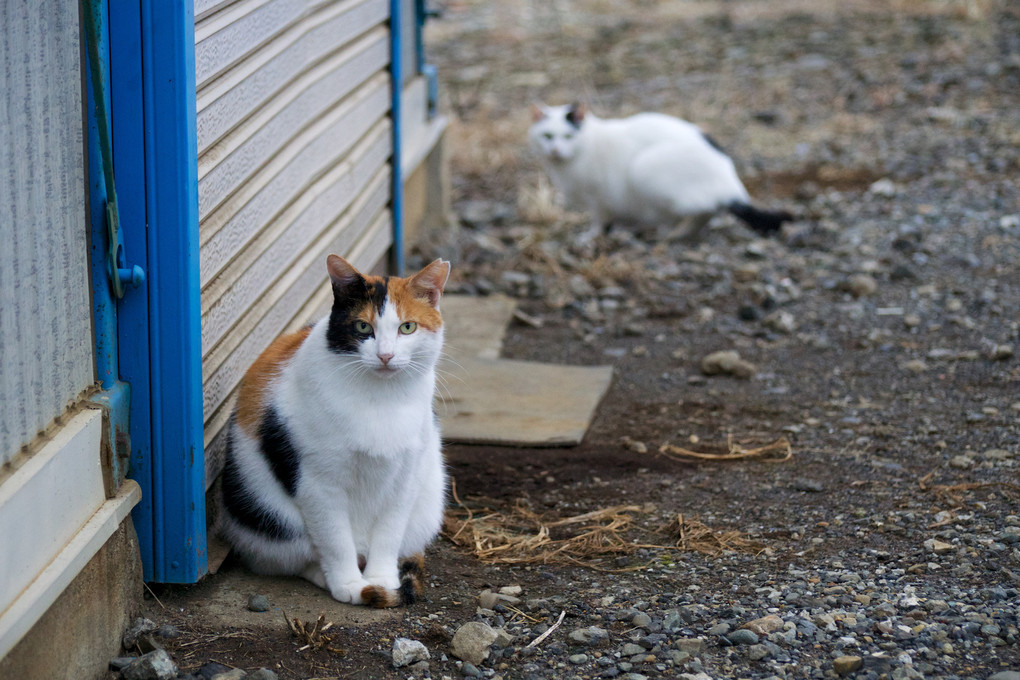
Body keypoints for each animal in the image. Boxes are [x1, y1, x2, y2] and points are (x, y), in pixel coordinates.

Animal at [219, 253, 450, 607]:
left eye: (407, 327)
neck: (379, 399)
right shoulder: (318, 483)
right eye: (363, 327)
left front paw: (381, 579)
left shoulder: (406, 475)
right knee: (289, 558)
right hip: (271, 519)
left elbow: (390, 531)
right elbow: (335, 539)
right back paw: (326, 576)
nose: (385, 355)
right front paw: (350, 584)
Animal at [530, 100, 791, 239]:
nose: (555, 149)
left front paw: (590, 236)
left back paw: (669, 233)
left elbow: (598, 220)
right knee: (706, 214)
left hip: (644, 169)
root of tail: (732, 187)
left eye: (568, 136)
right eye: (547, 136)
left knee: (695, 211)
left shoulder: (598, 198)